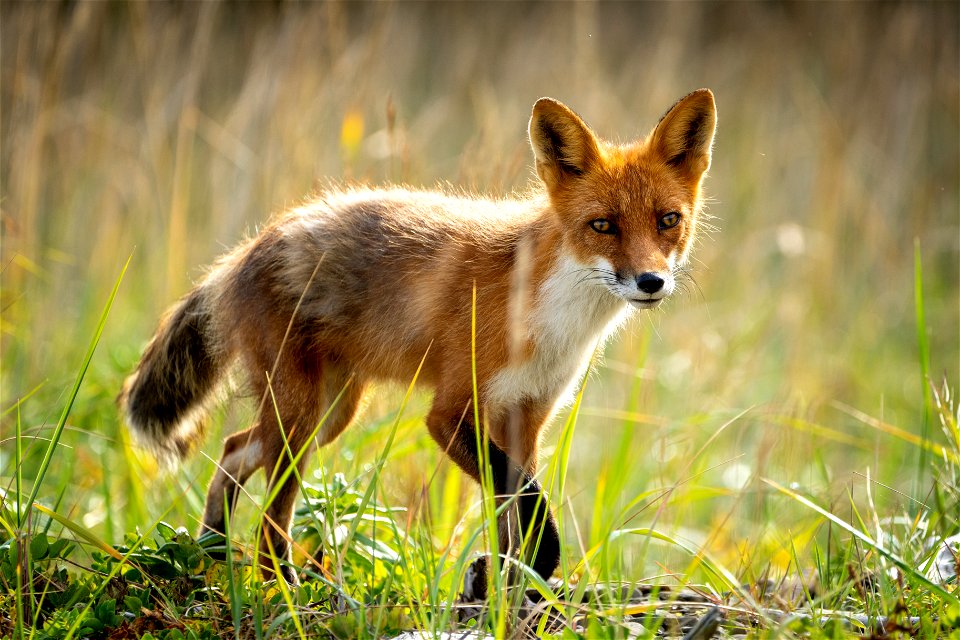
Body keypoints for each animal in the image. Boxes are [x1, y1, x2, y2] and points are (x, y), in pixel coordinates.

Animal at [120, 89, 716, 596]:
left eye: (668, 221)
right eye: (603, 225)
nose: (651, 282)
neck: (548, 316)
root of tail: (249, 246)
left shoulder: (527, 413)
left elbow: (512, 508)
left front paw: (511, 585)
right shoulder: (450, 412)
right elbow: (523, 496)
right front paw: (537, 563)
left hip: (330, 413)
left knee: (232, 449)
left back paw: (212, 550)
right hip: (301, 419)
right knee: (270, 511)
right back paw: (280, 585)